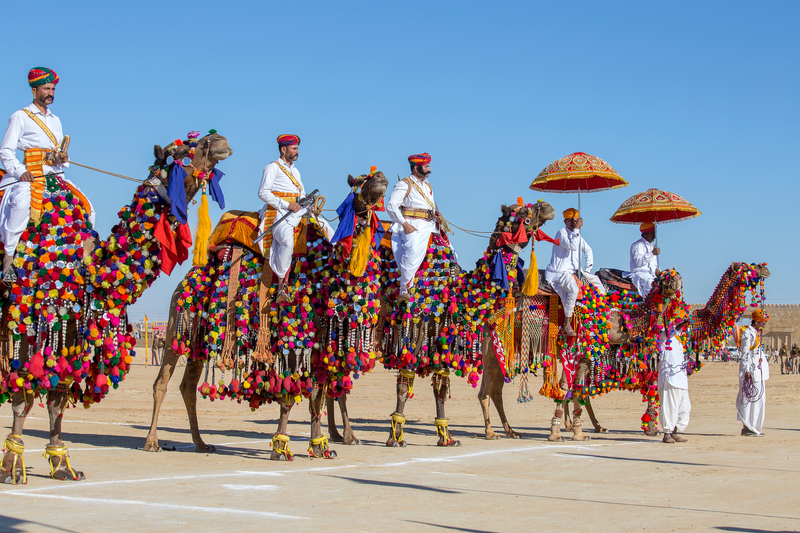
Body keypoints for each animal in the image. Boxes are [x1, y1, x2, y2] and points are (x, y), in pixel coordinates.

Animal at [0, 130, 231, 482]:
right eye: (179, 152)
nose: (218, 140)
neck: (88, 266)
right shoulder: (30, 319)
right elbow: (21, 395)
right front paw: (11, 465)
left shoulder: (71, 325)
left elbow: (57, 394)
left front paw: (62, 465)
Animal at [146, 169, 390, 458]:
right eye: (359, 183)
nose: (381, 177)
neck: (325, 274)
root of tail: (184, 280)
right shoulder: (292, 336)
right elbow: (292, 394)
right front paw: (280, 446)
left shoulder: (318, 343)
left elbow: (317, 395)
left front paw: (320, 446)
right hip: (177, 325)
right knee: (161, 382)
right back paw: (152, 442)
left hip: (199, 338)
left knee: (188, 387)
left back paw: (201, 443)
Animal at [476, 260, 768, 440]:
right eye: (747, 267)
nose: (765, 270)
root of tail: (491, 316)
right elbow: (571, 387)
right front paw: (560, 431)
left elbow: (577, 388)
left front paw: (576, 429)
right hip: (496, 350)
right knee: (490, 391)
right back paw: (495, 431)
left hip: (497, 353)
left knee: (492, 391)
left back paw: (509, 431)